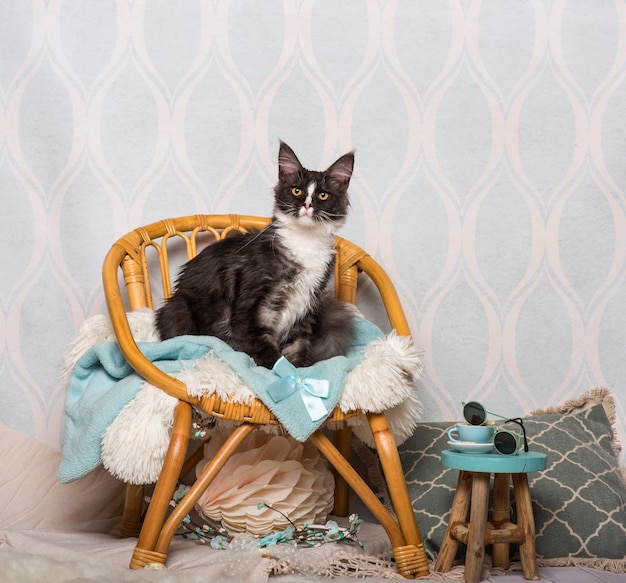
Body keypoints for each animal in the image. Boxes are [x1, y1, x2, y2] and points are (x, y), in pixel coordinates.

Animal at [155, 142, 356, 370]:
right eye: (296, 190)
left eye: (323, 195)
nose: (306, 206)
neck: (305, 242)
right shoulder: (251, 308)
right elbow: (266, 351)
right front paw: (281, 373)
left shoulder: (306, 306)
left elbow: (297, 346)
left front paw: (300, 370)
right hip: (177, 310)